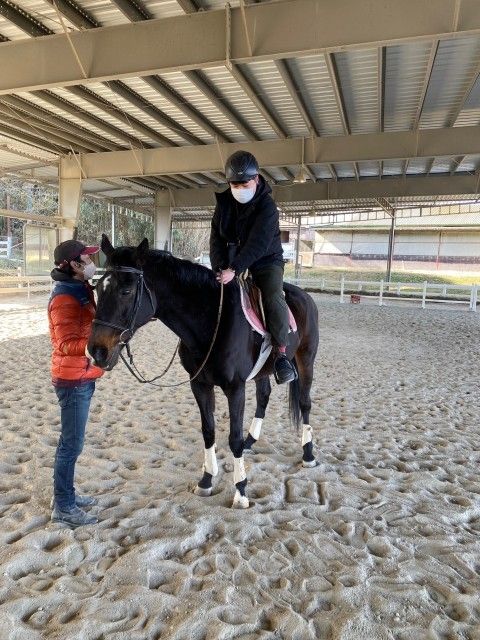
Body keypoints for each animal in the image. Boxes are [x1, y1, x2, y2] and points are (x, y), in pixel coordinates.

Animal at [87, 235, 319, 508]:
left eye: (126, 291)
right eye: (97, 289)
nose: (96, 351)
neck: (211, 321)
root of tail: (304, 296)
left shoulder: (235, 388)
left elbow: (233, 438)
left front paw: (241, 491)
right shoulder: (199, 384)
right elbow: (208, 430)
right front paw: (206, 480)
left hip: (306, 359)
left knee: (304, 403)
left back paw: (308, 454)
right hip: (263, 371)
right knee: (264, 396)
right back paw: (252, 441)